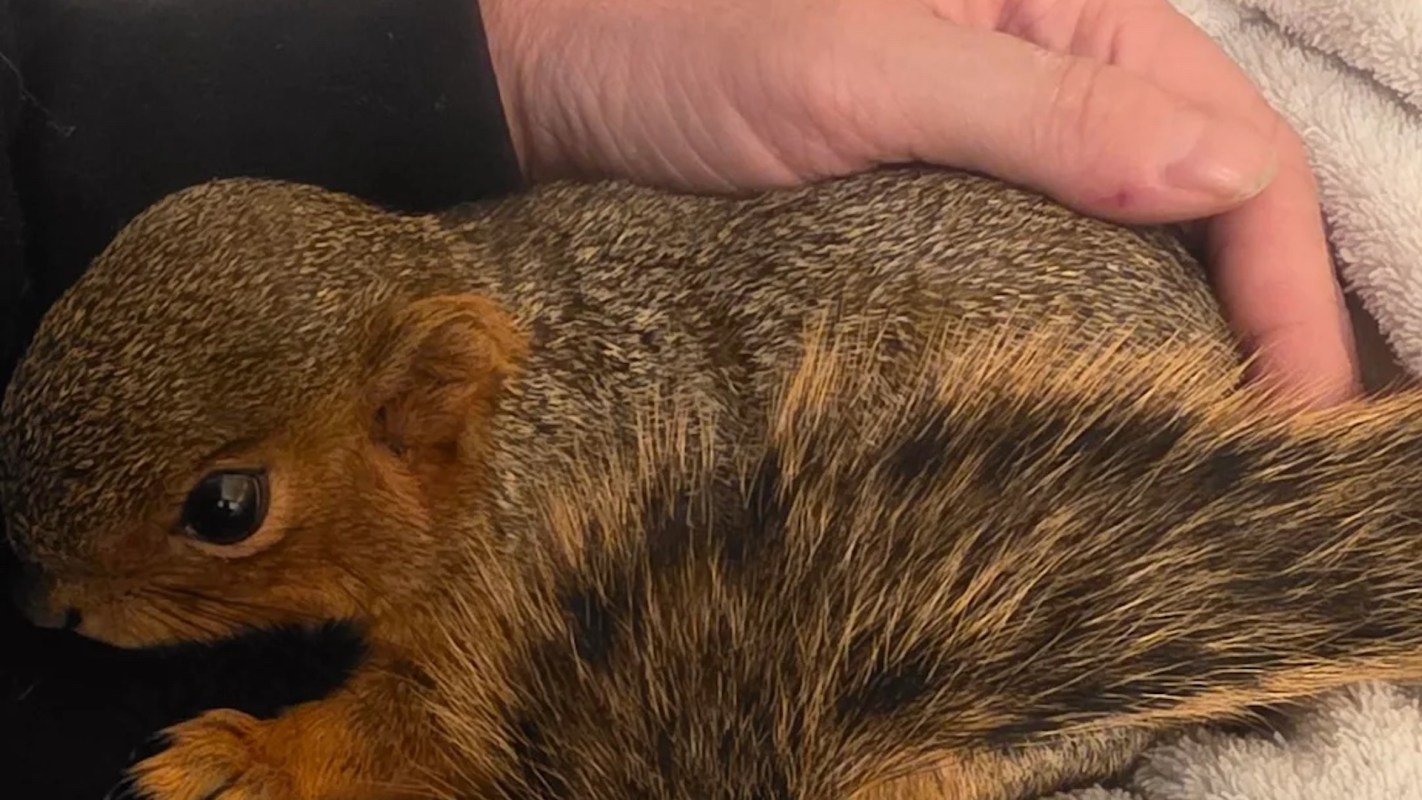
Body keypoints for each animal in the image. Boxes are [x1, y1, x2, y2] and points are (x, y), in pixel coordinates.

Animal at [4, 165, 1422, 800]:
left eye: (226, 507)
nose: (45, 604)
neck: (514, 432)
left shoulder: (544, 603)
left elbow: (412, 736)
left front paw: (247, 754)